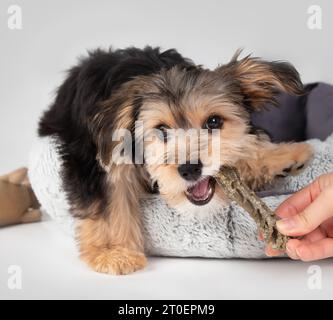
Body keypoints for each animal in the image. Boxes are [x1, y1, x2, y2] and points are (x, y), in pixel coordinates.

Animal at [38, 46, 312, 274]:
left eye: (214, 122)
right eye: (161, 129)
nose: (190, 169)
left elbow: (248, 141)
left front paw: (279, 155)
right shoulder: (98, 160)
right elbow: (110, 197)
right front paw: (114, 252)